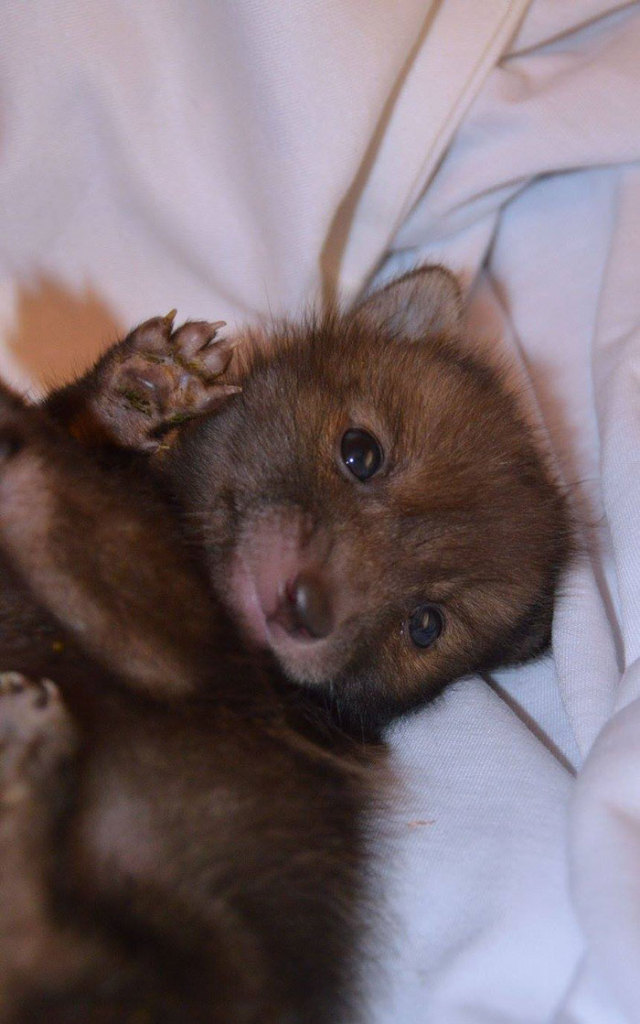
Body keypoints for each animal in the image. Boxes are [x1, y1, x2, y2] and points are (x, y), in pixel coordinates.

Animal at [0, 268, 573, 1019]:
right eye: (361, 453)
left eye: (425, 625)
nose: (302, 613)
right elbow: (77, 428)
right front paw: (145, 384)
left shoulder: (184, 653)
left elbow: (72, 505)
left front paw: (18, 434)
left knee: (43, 937)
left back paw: (23, 764)